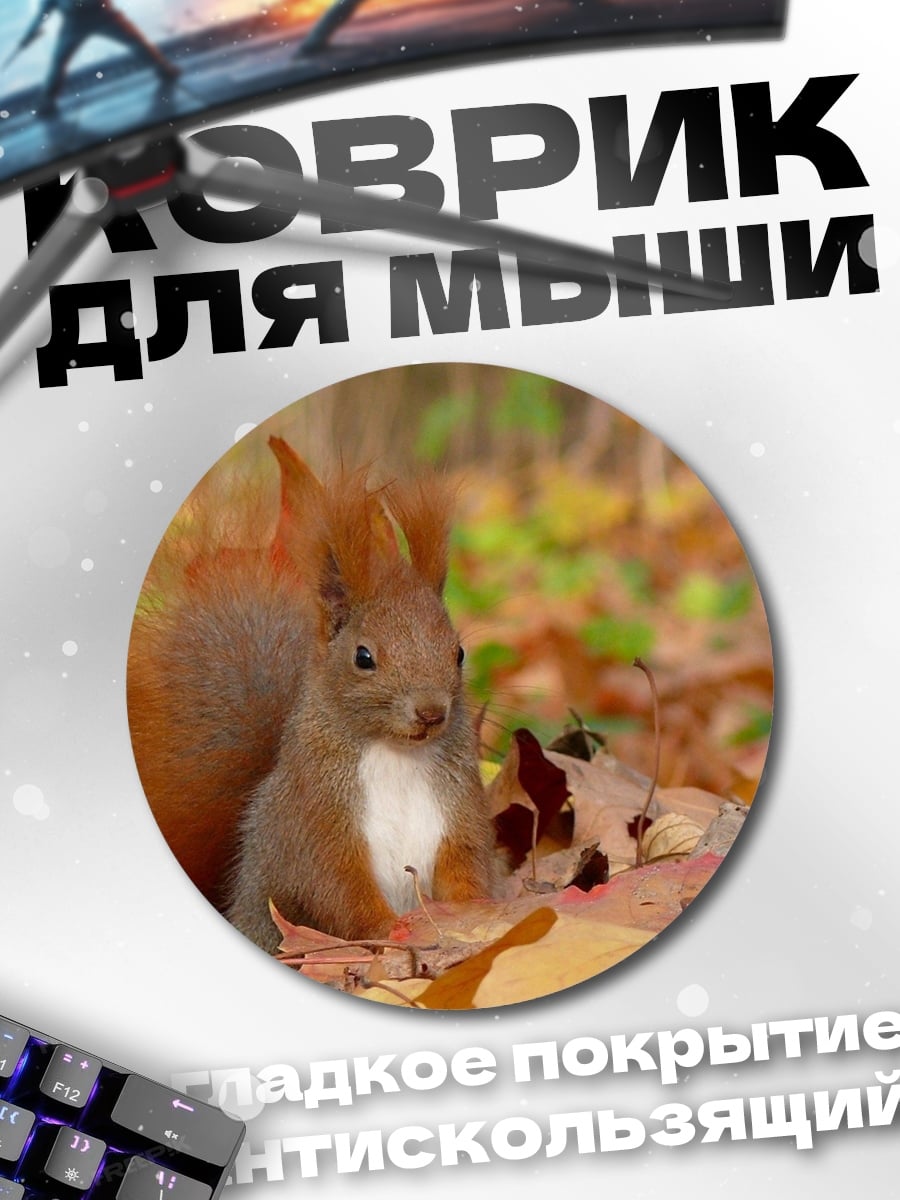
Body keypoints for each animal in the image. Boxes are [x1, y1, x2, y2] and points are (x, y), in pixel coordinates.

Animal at [126, 436, 495, 953]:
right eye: (364, 657)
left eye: (458, 652)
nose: (430, 712)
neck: (396, 754)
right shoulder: (316, 820)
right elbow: (336, 887)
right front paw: (392, 930)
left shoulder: (459, 809)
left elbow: (466, 864)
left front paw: (475, 915)